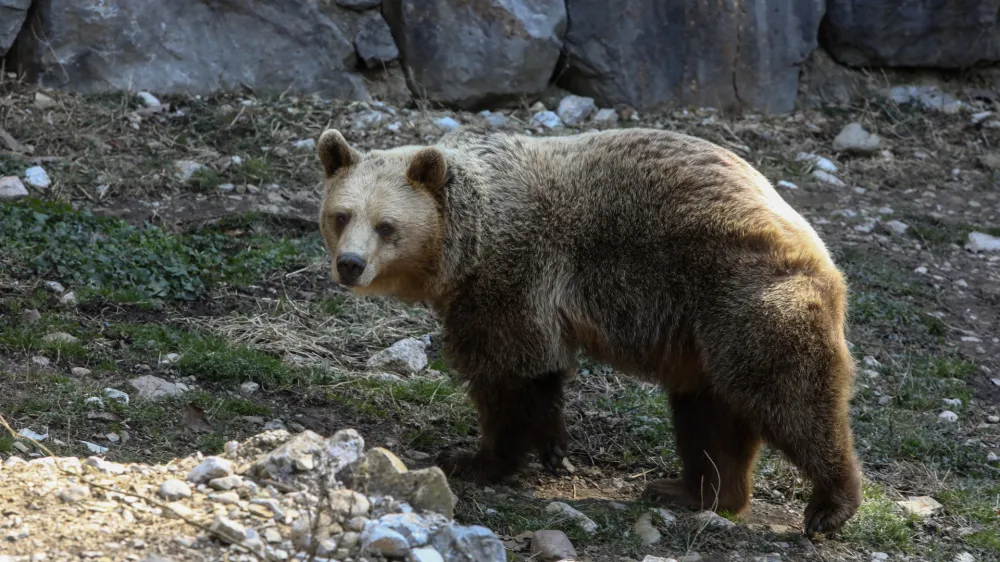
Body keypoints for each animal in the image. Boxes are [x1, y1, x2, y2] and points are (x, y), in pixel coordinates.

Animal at [316, 124, 864, 536]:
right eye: (341, 215)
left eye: (386, 226)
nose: (350, 264)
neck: (468, 245)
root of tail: (823, 256)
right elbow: (537, 374)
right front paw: (551, 445)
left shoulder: (513, 277)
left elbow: (507, 374)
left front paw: (474, 457)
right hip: (702, 337)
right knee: (709, 413)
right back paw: (694, 491)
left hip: (742, 299)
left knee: (789, 399)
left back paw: (829, 504)